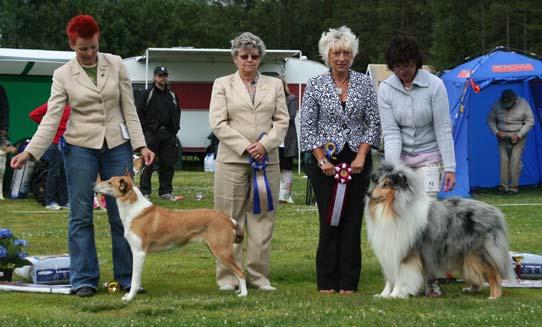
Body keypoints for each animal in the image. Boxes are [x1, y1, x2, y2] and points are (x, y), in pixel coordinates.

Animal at [94, 174, 249, 302]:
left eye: (109, 182)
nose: (93, 184)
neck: (135, 212)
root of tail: (228, 219)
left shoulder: (139, 253)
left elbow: (134, 280)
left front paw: (130, 297)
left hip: (221, 252)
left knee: (240, 272)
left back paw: (244, 294)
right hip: (217, 250)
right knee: (237, 271)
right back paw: (239, 291)